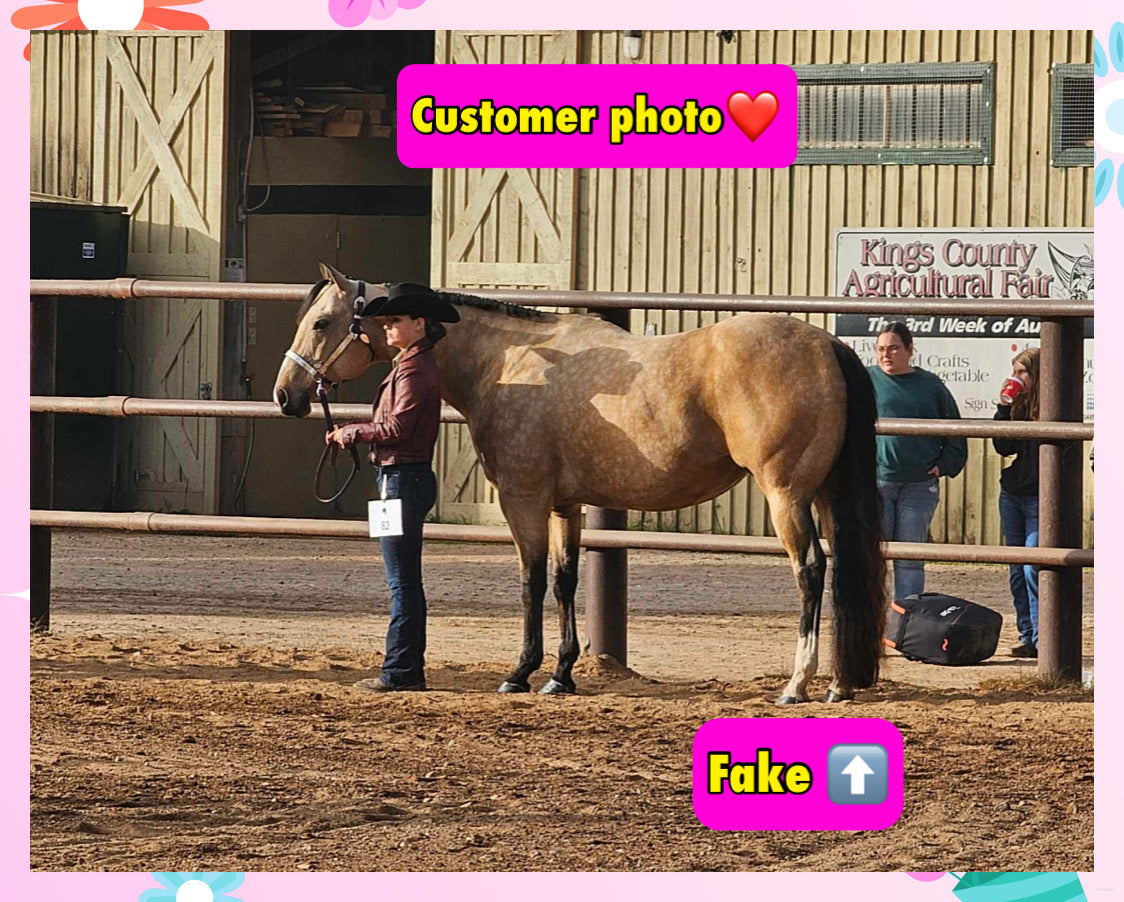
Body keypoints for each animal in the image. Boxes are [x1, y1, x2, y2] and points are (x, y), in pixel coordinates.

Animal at [274, 263, 887, 704]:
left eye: (322, 322)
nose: (286, 395)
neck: (507, 364)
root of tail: (827, 346)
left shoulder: (523, 501)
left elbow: (531, 582)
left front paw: (520, 672)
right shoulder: (564, 506)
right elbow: (566, 581)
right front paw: (561, 676)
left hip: (786, 494)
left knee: (811, 571)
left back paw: (797, 684)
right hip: (822, 493)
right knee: (841, 572)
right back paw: (839, 684)